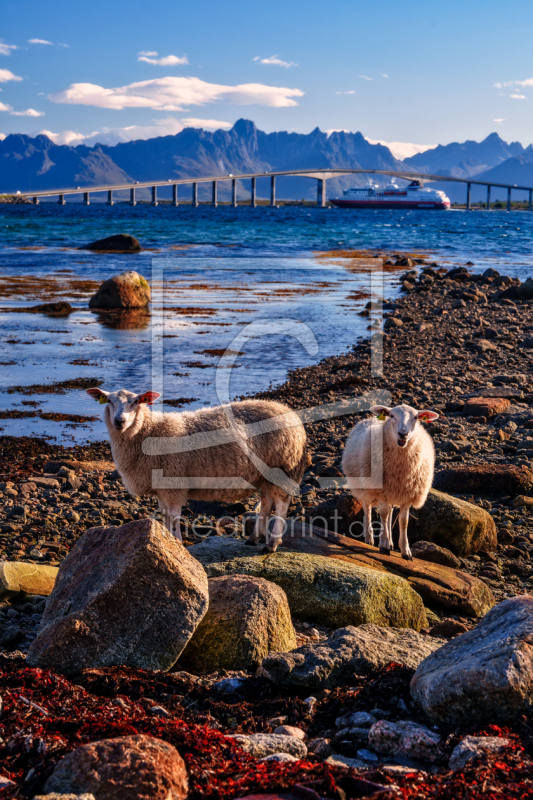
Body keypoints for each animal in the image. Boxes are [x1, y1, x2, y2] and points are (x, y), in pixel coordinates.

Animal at [85, 390, 306, 552]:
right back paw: (254, 538)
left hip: (282, 467)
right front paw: (168, 542)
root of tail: (290, 414)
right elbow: (165, 517)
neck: (148, 431)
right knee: (267, 501)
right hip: (264, 475)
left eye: (136, 402)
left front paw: (177, 544)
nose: (119, 421)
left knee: (281, 503)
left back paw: (271, 544)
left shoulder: (174, 485)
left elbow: (174, 519)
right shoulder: (162, 489)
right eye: (109, 401)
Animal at [342, 404, 438, 560]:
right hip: (365, 486)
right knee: (367, 508)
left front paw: (405, 551)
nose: (403, 434)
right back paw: (369, 538)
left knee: (391, 511)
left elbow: (403, 521)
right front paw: (384, 544)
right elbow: (383, 514)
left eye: (415, 417)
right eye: (392, 416)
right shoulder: (380, 491)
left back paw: (391, 542)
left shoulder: (408, 494)